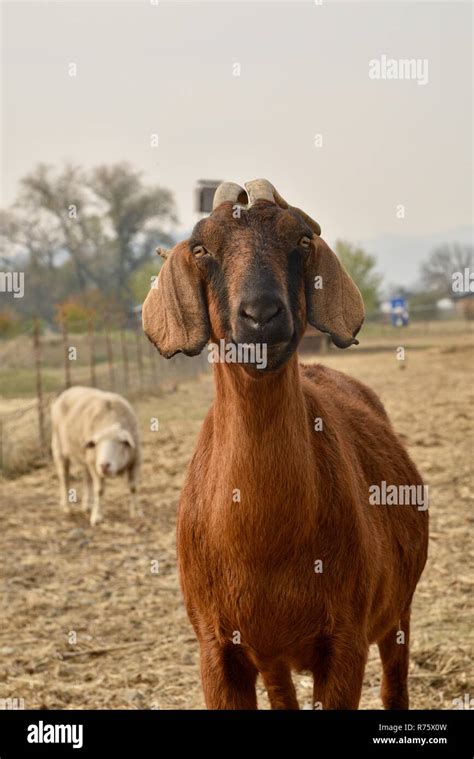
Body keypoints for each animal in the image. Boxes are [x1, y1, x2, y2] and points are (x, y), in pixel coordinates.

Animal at [51, 386, 142, 528]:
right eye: (97, 443)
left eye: (120, 442)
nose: (104, 465)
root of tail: (69, 390)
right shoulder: (94, 464)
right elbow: (99, 490)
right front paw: (97, 517)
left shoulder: (135, 460)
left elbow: (133, 487)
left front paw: (136, 512)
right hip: (59, 448)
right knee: (64, 478)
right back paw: (66, 507)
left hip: (85, 457)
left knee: (86, 479)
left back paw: (86, 506)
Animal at [143, 180, 428, 712]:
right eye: (201, 249)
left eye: (300, 239)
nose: (261, 315)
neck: (264, 542)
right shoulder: (218, 650)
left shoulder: (345, 642)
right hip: (272, 655)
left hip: (397, 609)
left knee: (395, 682)